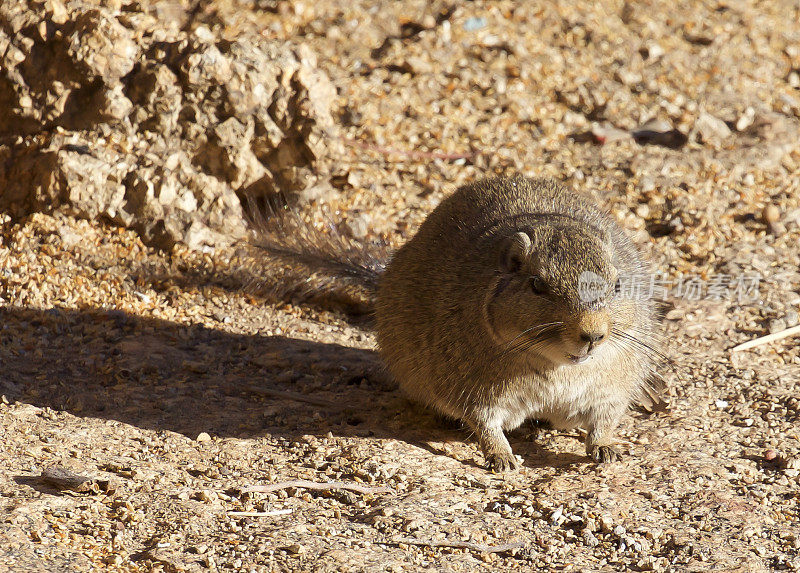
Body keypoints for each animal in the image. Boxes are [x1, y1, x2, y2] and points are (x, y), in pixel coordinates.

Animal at [255, 173, 664, 470]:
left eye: (618, 284)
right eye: (537, 285)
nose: (592, 335)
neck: (557, 368)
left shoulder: (611, 386)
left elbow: (604, 421)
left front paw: (607, 450)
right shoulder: (472, 388)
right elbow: (486, 426)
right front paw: (502, 458)